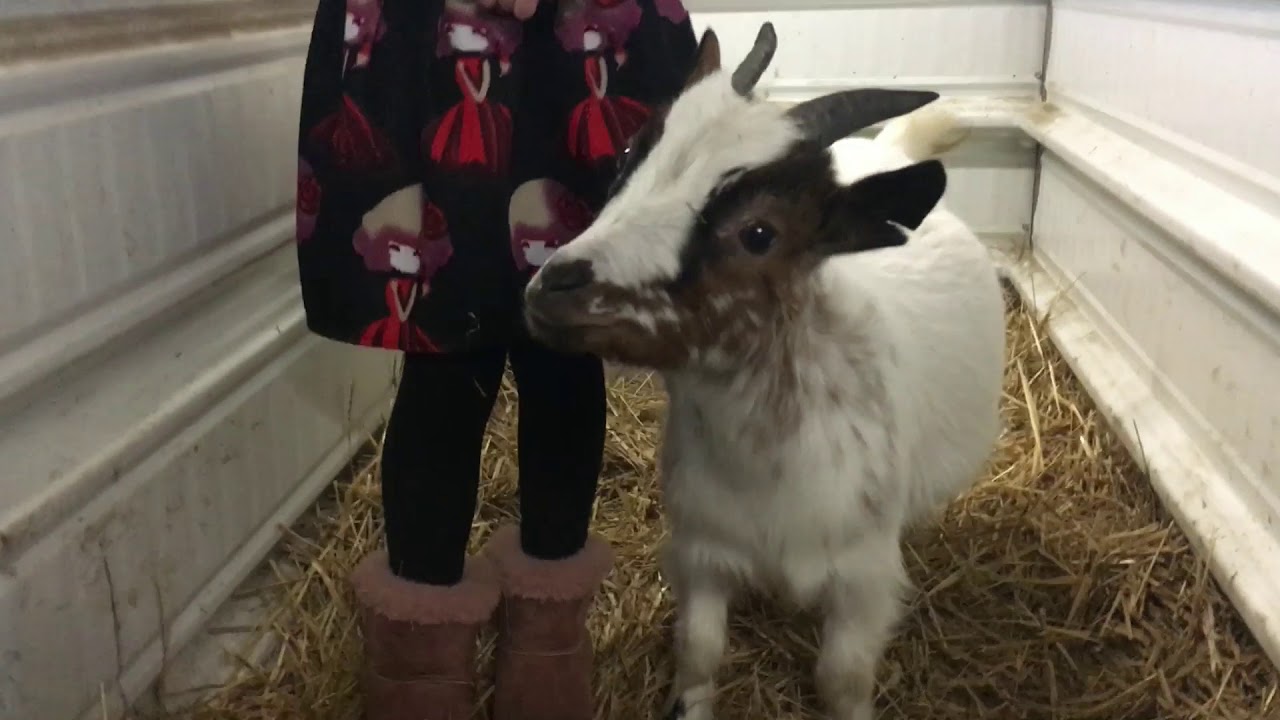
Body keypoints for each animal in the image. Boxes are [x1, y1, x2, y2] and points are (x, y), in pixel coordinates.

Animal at [523, 22, 1005, 720]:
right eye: (627, 155)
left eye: (758, 234)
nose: (551, 289)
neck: (765, 468)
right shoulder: (702, 551)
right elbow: (699, 652)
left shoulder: (863, 579)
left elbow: (842, 678)